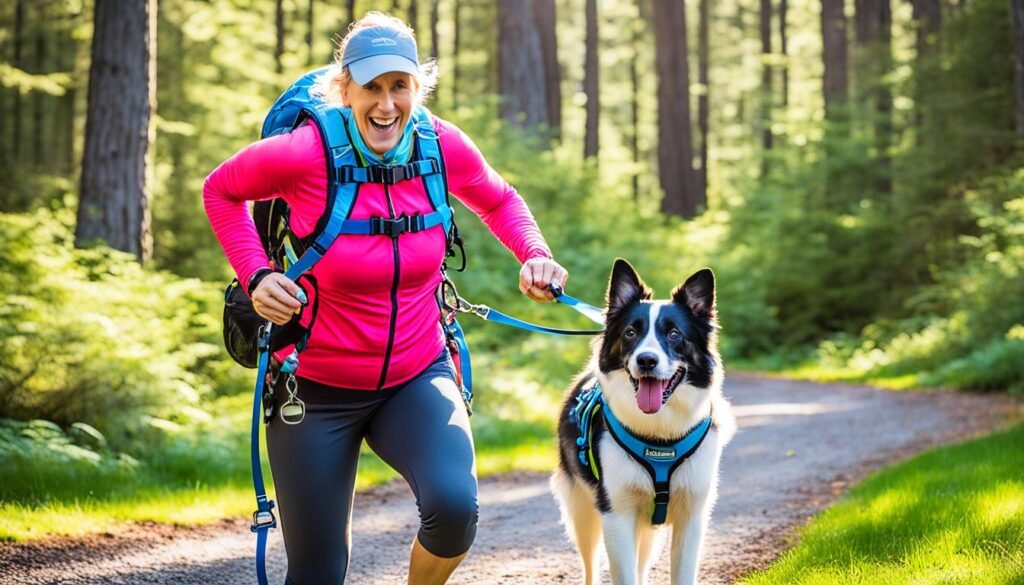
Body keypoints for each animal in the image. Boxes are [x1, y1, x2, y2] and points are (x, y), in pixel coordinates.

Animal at [552, 260, 737, 585]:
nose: (646, 361)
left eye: (674, 334)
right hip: (582, 511)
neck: (660, 436)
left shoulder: (692, 514)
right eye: (630, 333)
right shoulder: (616, 513)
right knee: (590, 563)